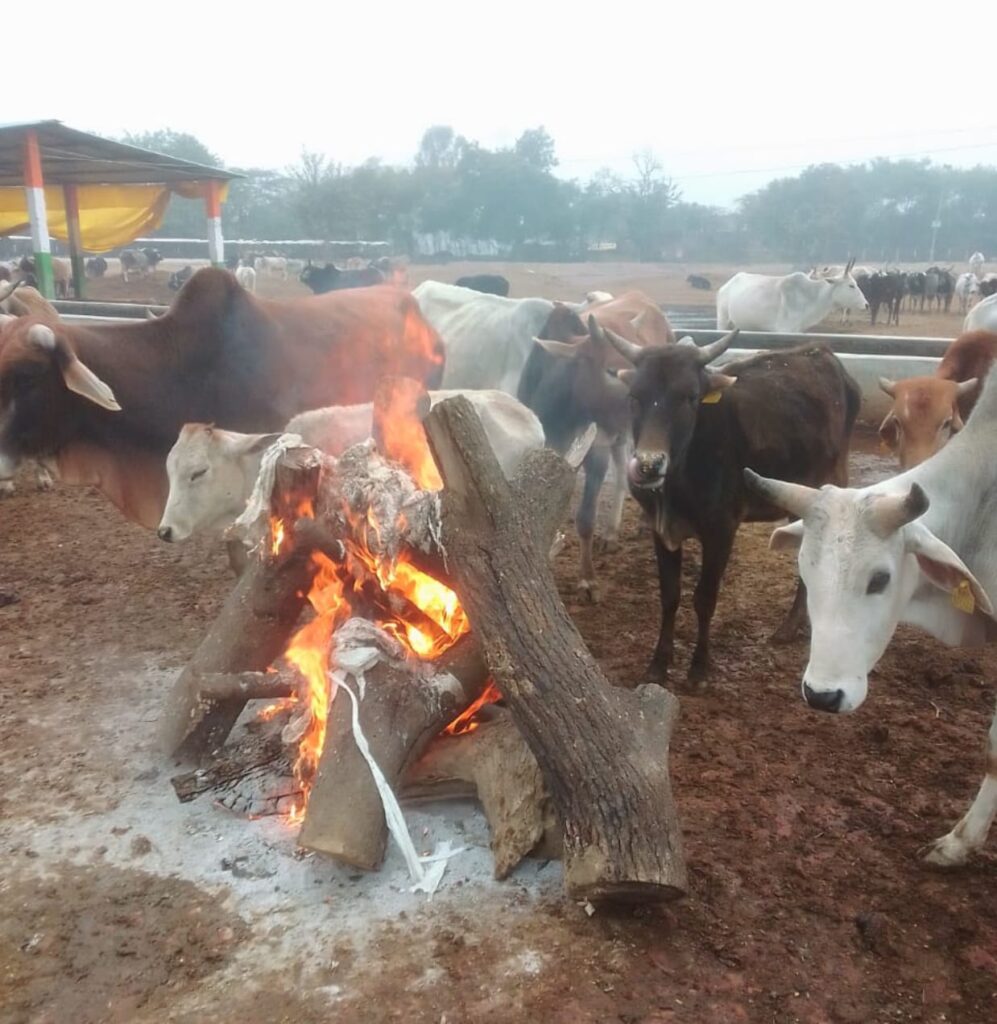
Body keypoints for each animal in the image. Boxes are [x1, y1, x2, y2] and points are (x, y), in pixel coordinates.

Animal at [605, 329, 860, 684]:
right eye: (634, 396)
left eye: (690, 397)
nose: (648, 465)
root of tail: (822, 352)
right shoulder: (660, 529)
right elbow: (669, 596)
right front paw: (658, 664)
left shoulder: (722, 530)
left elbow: (705, 598)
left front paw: (699, 668)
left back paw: (791, 626)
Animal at [717, 261, 869, 332]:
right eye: (851, 285)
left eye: (856, 283)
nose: (866, 304)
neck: (810, 295)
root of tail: (726, 286)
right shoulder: (785, 329)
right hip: (723, 322)